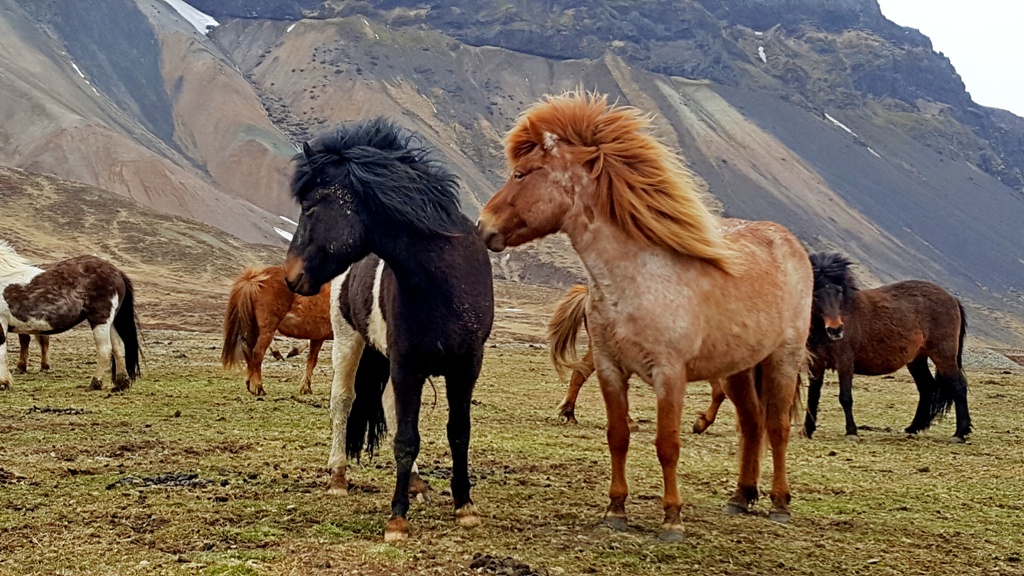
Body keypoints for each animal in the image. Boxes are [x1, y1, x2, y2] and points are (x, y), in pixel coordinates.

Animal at [0, 239, 140, 391]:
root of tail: (117, 271)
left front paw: (3, 383)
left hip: (100, 320)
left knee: (105, 350)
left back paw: (95, 384)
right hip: (111, 321)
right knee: (118, 347)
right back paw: (121, 384)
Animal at [221, 264, 329, 393]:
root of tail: (254, 279)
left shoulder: (318, 336)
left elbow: (311, 360)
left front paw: (305, 387)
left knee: (248, 350)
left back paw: (250, 383)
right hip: (268, 328)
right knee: (257, 353)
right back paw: (258, 388)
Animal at [282, 118, 493, 541]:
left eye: (310, 208)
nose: (291, 276)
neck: (443, 285)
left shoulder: (466, 366)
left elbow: (458, 432)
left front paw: (464, 504)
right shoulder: (406, 364)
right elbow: (405, 439)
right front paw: (397, 519)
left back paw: (415, 483)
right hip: (348, 341)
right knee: (343, 401)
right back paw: (338, 476)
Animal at [475, 89, 811, 537]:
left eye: (522, 174)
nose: (482, 226)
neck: (635, 279)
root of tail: (790, 242)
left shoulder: (669, 375)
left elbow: (667, 444)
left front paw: (672, 518)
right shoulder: (610, 369)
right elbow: (618, 436)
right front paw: (616, 510)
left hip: (782, 359)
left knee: (777, 427)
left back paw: (778, 501)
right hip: (738, 369)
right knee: (752, 425)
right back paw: (741, 496)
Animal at [798, 250, 966, 438]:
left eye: (839, 291)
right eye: (815, 293)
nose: (836, 329)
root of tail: (953, 299)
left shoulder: (845, 362)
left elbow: (845, 397)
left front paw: (851, 432)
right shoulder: (816, 365)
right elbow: (813, 397)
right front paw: (807, 431)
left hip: (943, 355)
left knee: (958, 387)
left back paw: (960, 433)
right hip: (917, 360)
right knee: (927, 388)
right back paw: (914, 427)